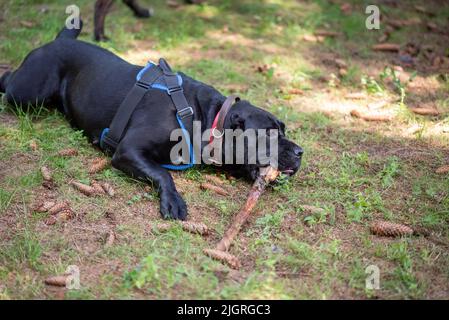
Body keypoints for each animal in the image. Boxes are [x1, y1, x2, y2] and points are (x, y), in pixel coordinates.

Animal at [0, 22, 302, 220]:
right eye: (269, 132)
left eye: (283, 129)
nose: (300, 151)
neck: (204, 116)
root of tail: (60, 38)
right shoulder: (129, 149)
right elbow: (162, 172)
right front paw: (174, 201)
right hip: (27, 94)